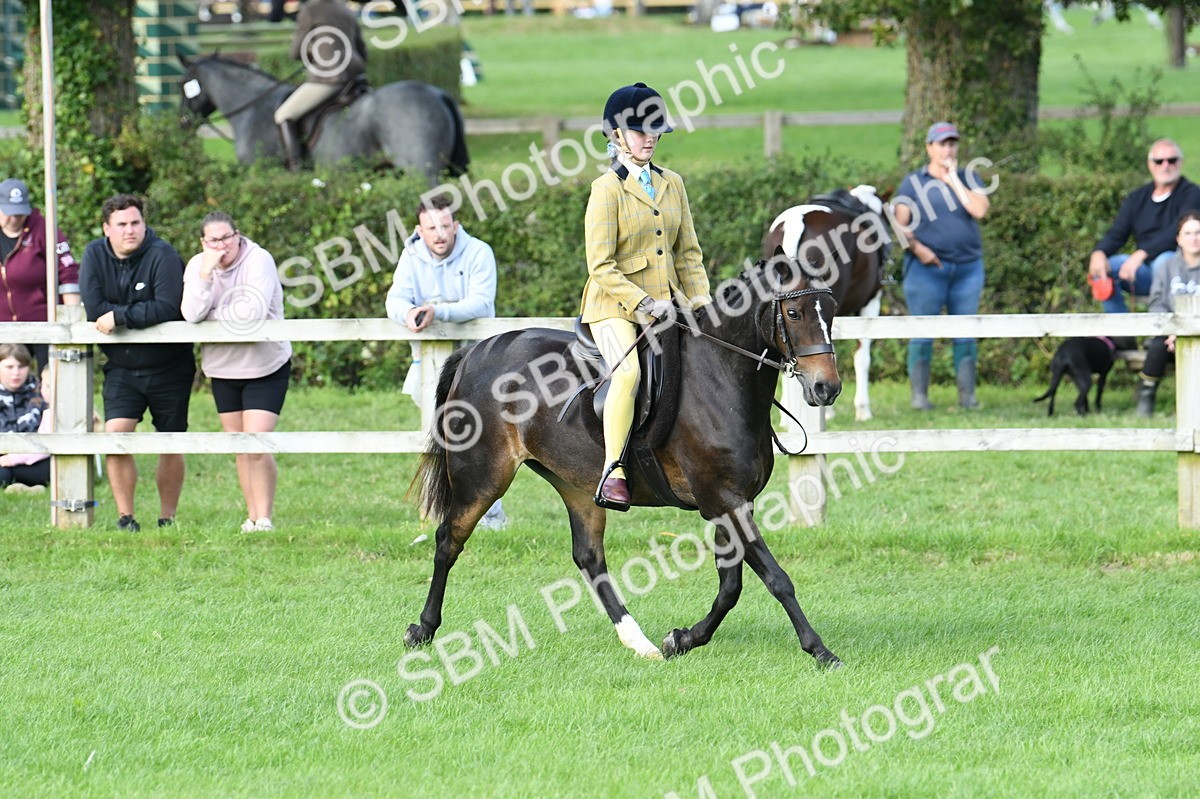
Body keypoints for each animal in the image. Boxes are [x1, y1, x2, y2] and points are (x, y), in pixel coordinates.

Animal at [178, 54, 468, 185]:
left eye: (182, 85)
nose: (182, 123)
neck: (252, 107)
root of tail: (437, 93)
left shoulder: (259, 171)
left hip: (423, 171)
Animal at [406, 255, 845, 668]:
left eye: (831, 309)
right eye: (794, 314)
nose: (827, 388)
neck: (721, 376)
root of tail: (475, 351)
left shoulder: (733, 502)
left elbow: (730, 585)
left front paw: (682, 639)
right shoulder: (723, 500)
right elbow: (775, 578)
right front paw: (820, 650)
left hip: (576, 484)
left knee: (588, 557)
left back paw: (639, 641)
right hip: (482, 478)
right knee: (448, 541)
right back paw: (423, 629)